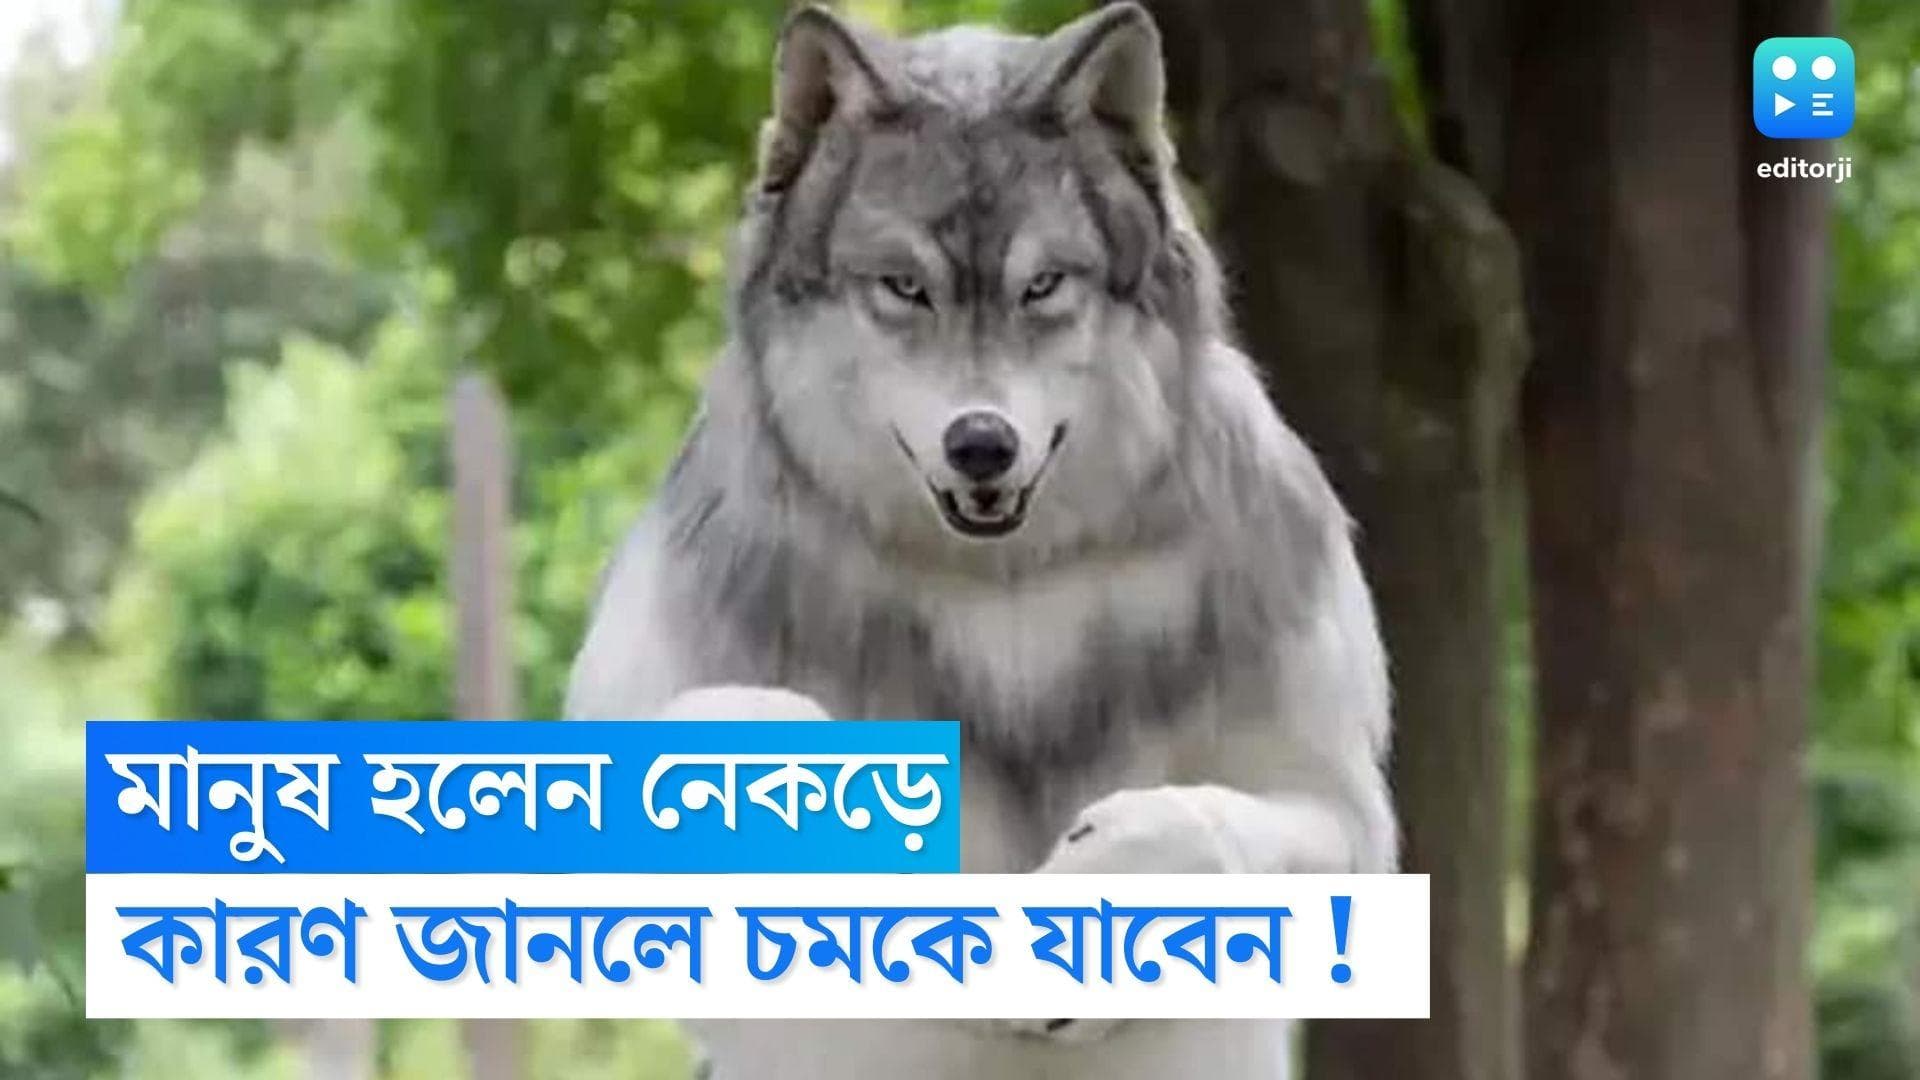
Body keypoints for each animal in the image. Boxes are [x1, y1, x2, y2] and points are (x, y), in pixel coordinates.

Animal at [565, 4, 1397, 1077]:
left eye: (1042, 285)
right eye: (903, 287)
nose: (982, 444)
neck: (1000, 589)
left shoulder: (1336, 810)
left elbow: (1201, 825)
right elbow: (731, 722)